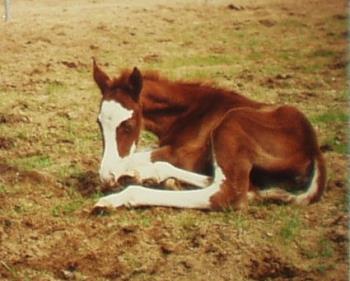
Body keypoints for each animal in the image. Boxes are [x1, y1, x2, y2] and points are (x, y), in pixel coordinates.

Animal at [92, 61, 326, 210]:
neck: (191, 111)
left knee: (227, 195)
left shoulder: (187, 155)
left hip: (232, 122)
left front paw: (118, 174)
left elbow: (138, 155)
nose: (106, 177)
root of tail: (314, 149)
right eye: (99, 122)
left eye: (128, 124)